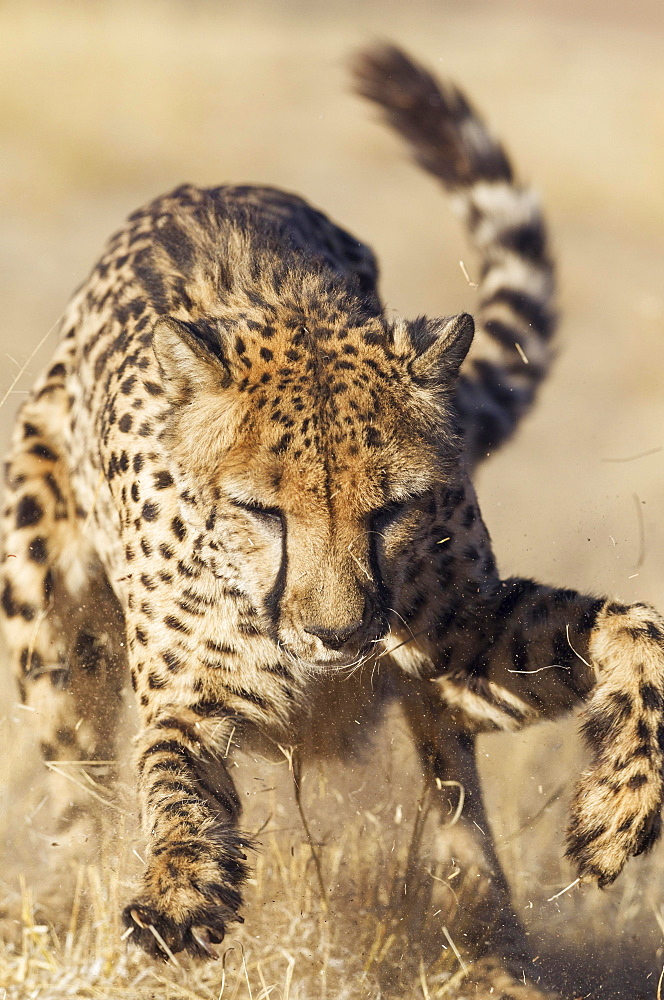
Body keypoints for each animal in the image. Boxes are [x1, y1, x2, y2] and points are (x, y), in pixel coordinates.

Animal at [1, 45, 664, 992]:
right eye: (261, 511)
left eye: (390, 510)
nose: (338, 636)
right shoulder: (190, 685)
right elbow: (174, 776)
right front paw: (178, 892)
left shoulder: (458, 644)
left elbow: (634, 628)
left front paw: (619, 809)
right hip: (52, 620)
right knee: (76, 787)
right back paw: (65, 898)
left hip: (431, 711)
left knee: (458, 809)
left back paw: (493, 953)